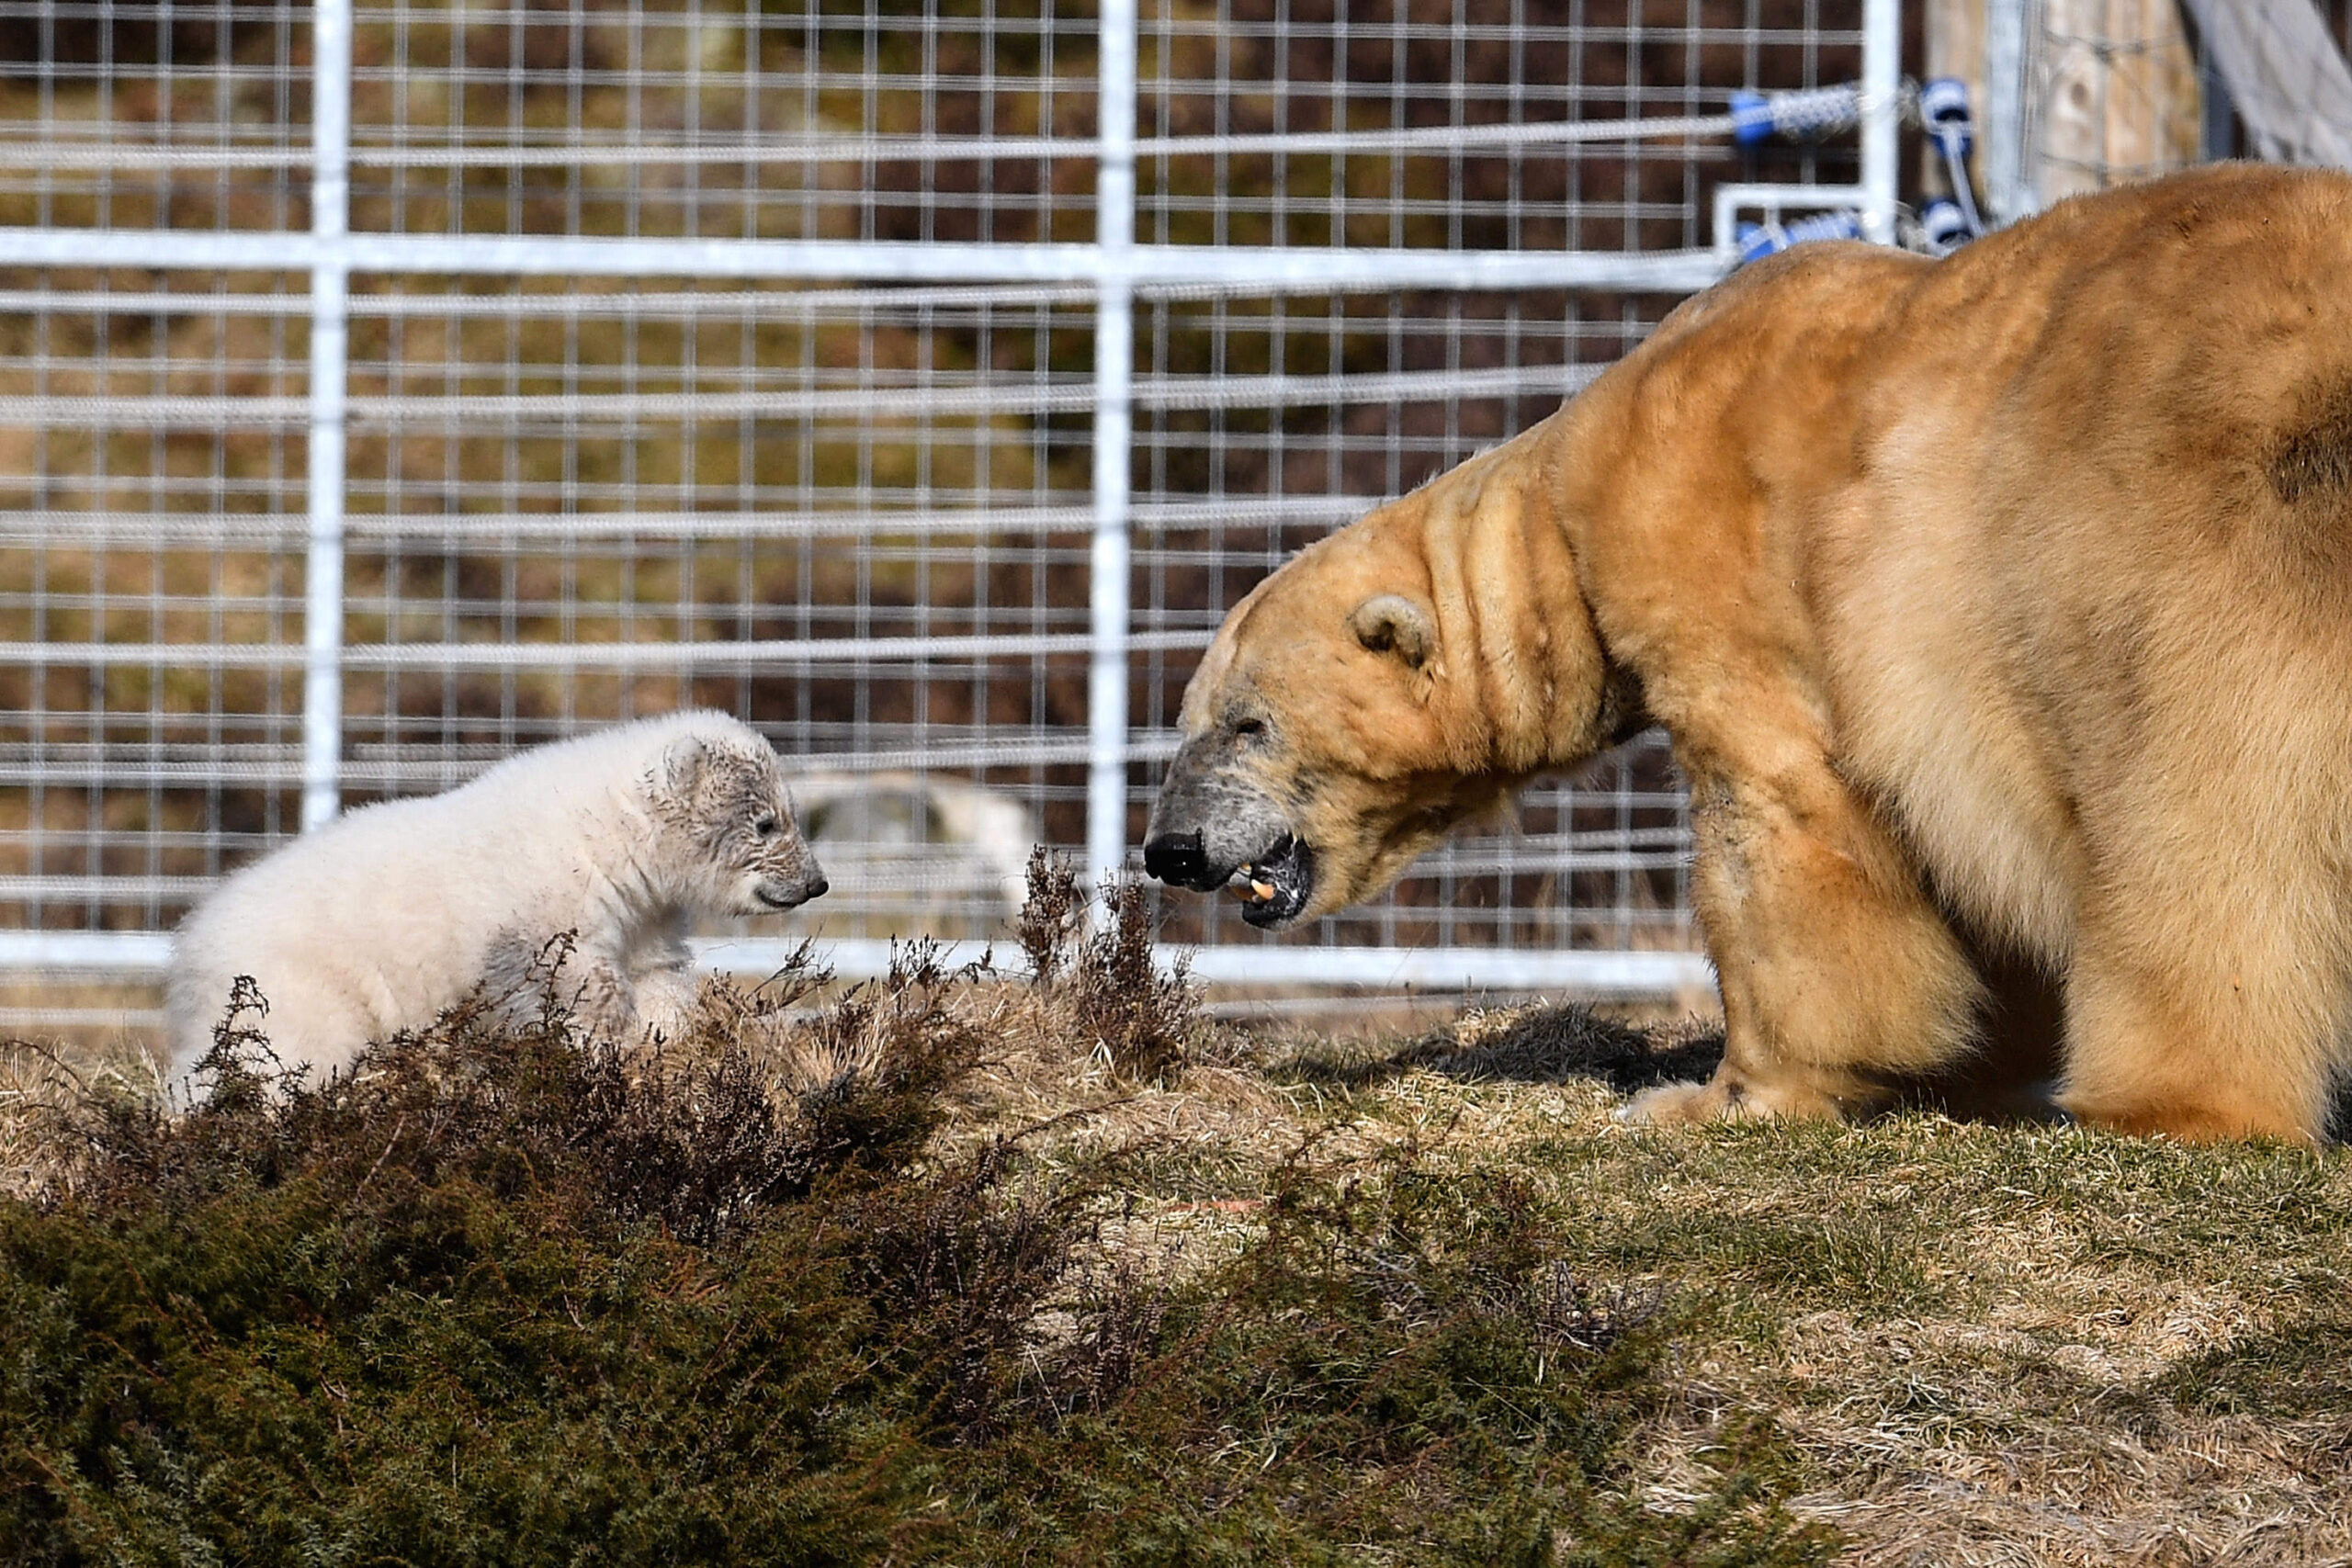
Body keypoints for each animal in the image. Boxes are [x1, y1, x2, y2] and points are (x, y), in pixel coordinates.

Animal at [166, 710, 829, 1086]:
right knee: (289, 1054)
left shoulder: (644, 910)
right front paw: (604, 1041)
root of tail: (194, 936)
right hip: (297, 984)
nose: (815, 882)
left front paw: (665, 1035)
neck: (607, 835)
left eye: (791, 813)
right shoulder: (545, 907)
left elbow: (656, 972)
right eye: (767, 822)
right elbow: (570, 985)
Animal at [1144, 162, 2352, 1144]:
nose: (1170, 851)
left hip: (2181, 545)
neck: (1560, 518)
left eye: (1245, 724)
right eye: (1190, 721)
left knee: (2189, 822)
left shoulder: (1718, 564)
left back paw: (2161, 1103)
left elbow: (1778, 821)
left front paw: (1714, 1094)